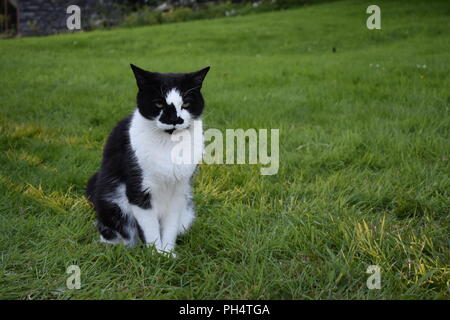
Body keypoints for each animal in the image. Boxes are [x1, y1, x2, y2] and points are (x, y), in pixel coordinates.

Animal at [85, 63, 209, 256]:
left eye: (186, 104)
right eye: (159, 103)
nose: (175, 119)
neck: (169, 143)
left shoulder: (179, 190)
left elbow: (170, 226)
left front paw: (168, 254)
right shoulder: (139, 189)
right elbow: (150, 228)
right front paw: (155, 255)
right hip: (112, 202)